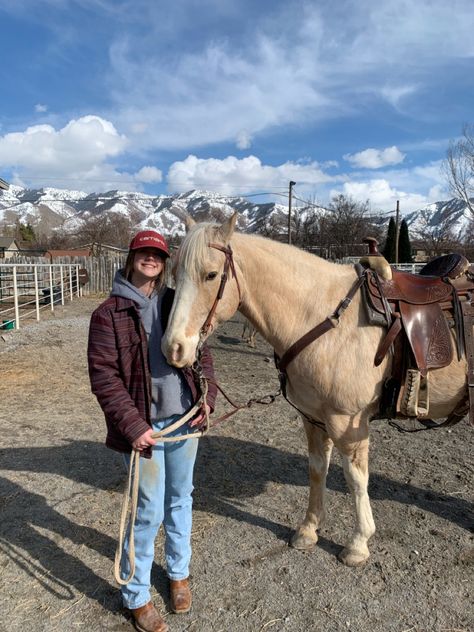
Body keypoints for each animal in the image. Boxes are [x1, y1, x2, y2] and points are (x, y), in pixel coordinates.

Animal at [162, 215, 466, 564]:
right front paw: (308, 529)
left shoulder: (348, 422)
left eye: (211, 275)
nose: (173, 348)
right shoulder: (314, 418)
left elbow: (355, 479)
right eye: (175, 273)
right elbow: (317, 469)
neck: (324, 319)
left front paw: (358, 543)